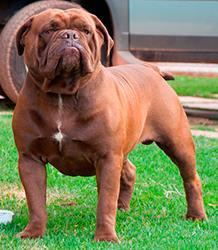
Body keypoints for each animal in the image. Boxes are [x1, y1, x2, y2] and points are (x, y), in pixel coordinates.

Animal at [13, 8, 206, 242]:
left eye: (86, 30)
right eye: (49, 30)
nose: (70, 35)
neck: (62, 94)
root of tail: (153, 70)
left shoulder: (107, 158)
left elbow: (105, 202)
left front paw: (105, 237)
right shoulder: (30, 159)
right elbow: (35, 201)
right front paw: (33, 232)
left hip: (178, 143)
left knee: (191, 178)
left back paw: (196, 216)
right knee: (129, 171)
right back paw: (122, 207)